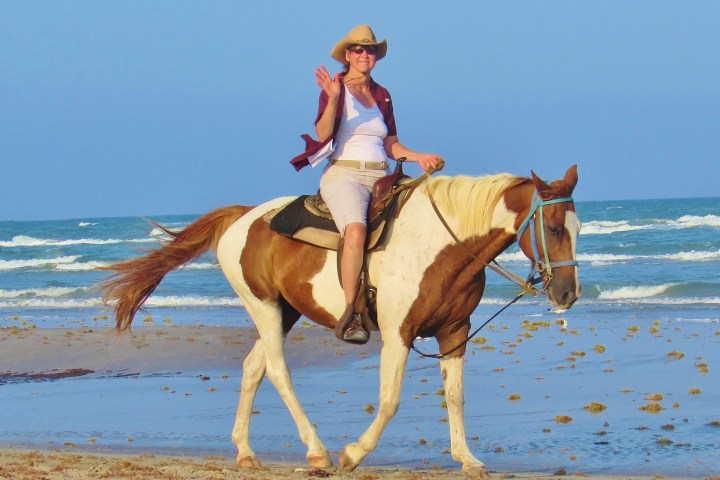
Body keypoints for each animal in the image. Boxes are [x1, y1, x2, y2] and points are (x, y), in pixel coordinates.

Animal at [100, 165, 580, 479]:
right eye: (554, 228)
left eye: (578, 228)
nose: (567, 294)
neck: (443, 245)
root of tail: (243, 215)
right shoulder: (398, 335)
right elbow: (389, 400)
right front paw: (354, 454)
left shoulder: (455, 333)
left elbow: (456, 397)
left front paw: (467, 458)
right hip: (265, 307)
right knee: (277, 370)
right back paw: (318, 453)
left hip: (285, 311)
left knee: (253, 367)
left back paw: (245, 453)